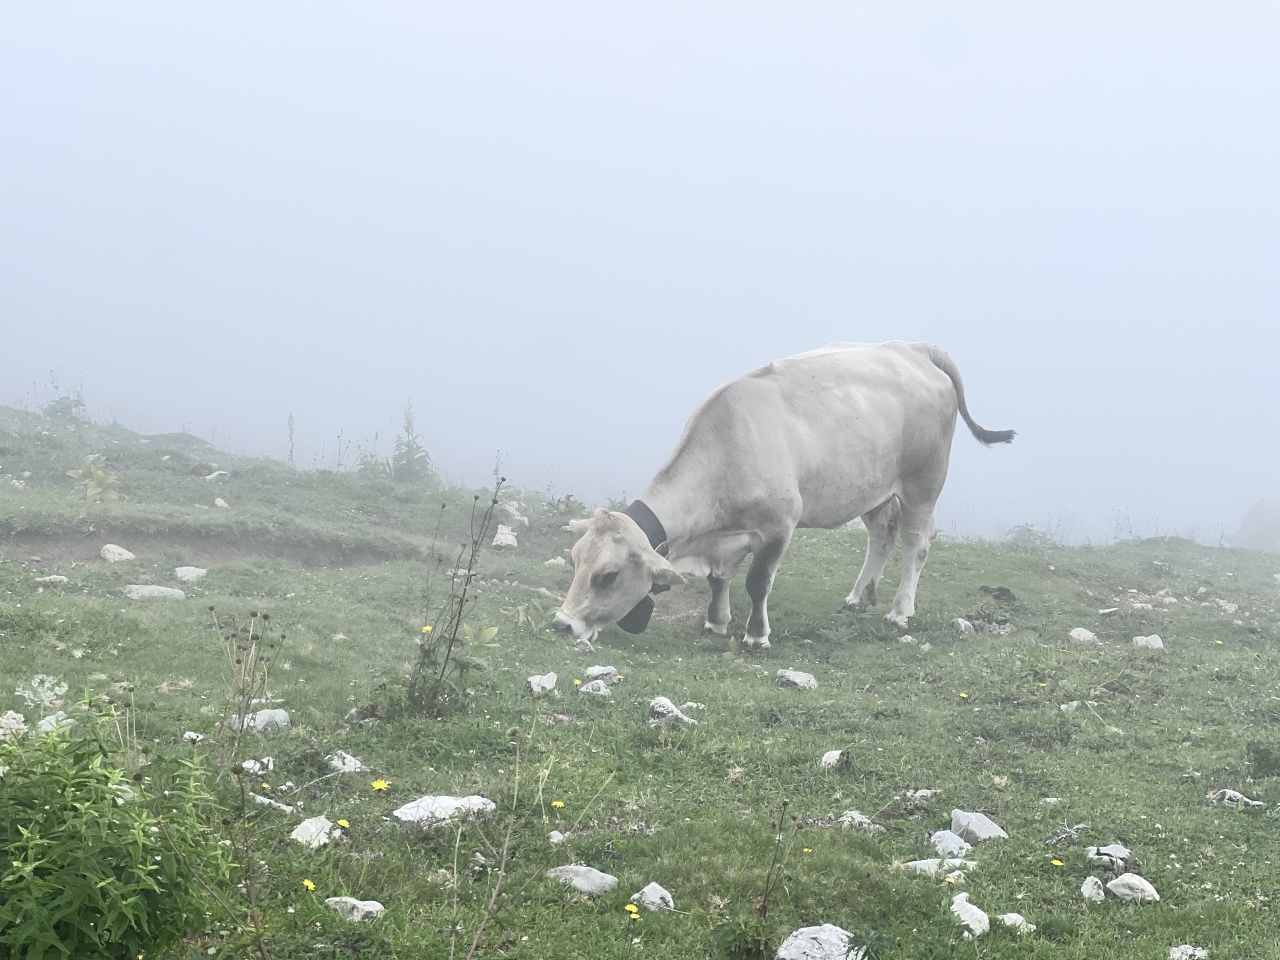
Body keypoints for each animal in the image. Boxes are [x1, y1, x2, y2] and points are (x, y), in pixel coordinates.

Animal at [550, 343, 1008, 650]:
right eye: (574, 561)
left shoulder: (778, 527)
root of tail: (912, 348)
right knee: (882, 534)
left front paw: (756, 636)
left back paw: (899, 612)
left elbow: (757, 582)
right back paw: (858, 598)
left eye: (607, 576)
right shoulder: (726, 536)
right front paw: (716, 622)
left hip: (923, 482)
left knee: (917, 542)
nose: (561, 624)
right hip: (872, 487)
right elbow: (719, 579)